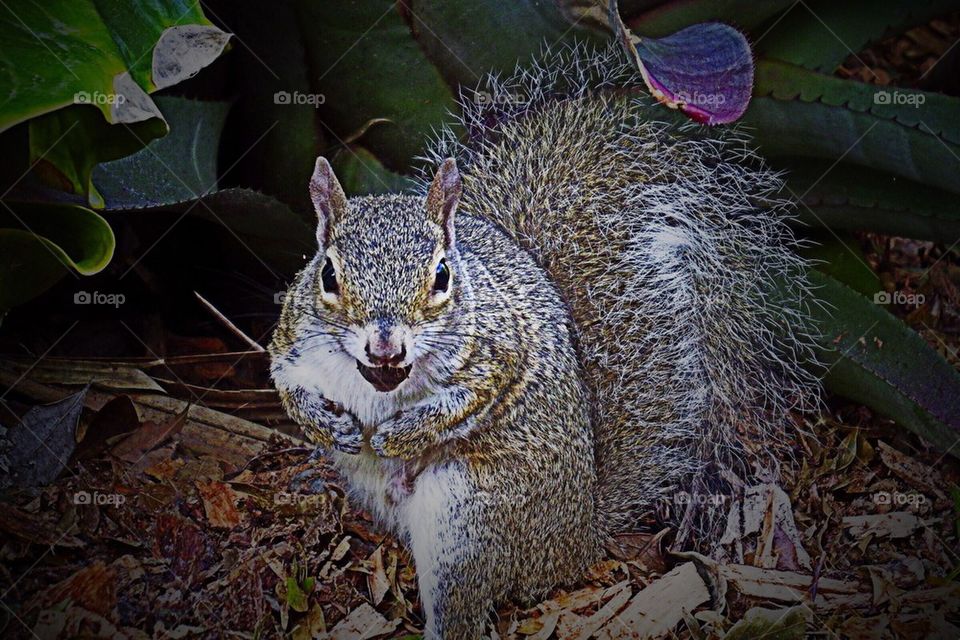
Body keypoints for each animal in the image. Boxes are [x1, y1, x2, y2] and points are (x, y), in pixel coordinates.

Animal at [269, 42, 818, 638]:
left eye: (442, 276)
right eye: (327, 275)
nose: (385, 347)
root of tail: (575, 541)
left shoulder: (499, 354)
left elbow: (468, 399)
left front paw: (402, 436)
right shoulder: (290, 340)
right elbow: (285, 382)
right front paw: (326, 425)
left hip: (469, 517)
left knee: (463, 608)